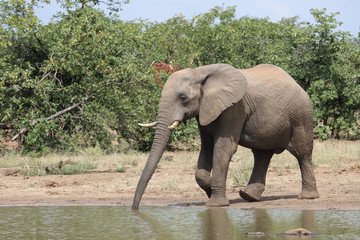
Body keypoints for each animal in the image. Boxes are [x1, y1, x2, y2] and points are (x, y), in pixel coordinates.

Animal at [131, 63, 318, 210]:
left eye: (182, 97)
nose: (135, 209)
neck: (200, 73)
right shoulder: (206, 109)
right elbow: (206, 148)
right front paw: (209, 188)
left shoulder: (234, 108)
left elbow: (223, 148)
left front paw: (215, 203)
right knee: (262, 155)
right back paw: (249, 196)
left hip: (301, 115)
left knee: (302, 153)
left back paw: (307, 197)